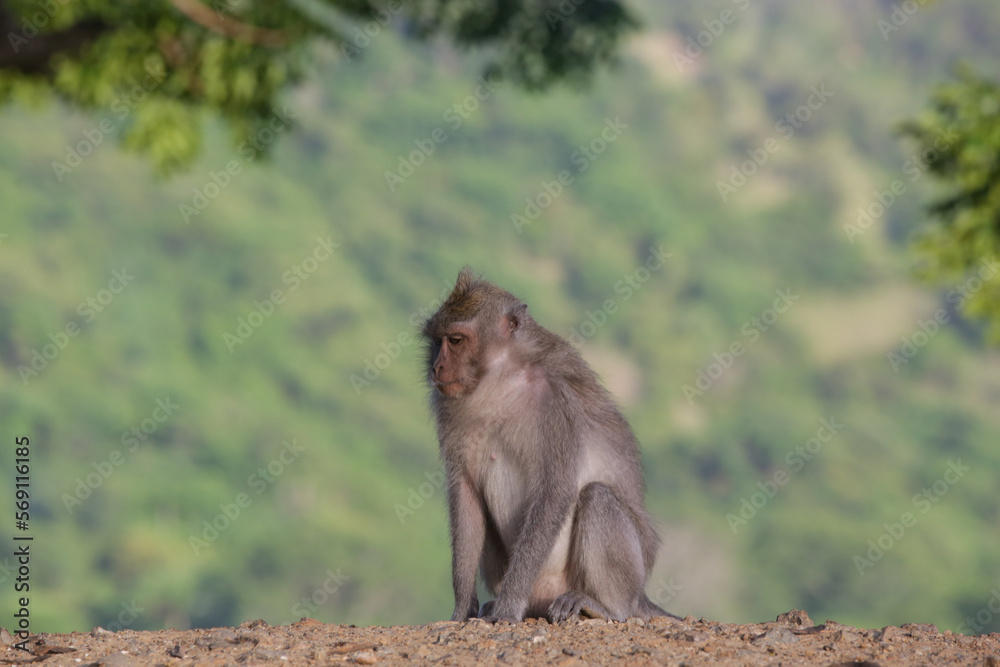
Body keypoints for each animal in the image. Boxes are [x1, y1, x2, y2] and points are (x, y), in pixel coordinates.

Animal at [421, 267, 680, 624]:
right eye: (437, 341)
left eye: (456, 340)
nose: (437, 367)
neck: (501, 381)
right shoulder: (449, 408)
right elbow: (467, 494)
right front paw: (462, 607)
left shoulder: (557, 406)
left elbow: (553, 493)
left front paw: (508, 606)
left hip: (621, 577)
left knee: (597, 497)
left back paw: (604, 607)